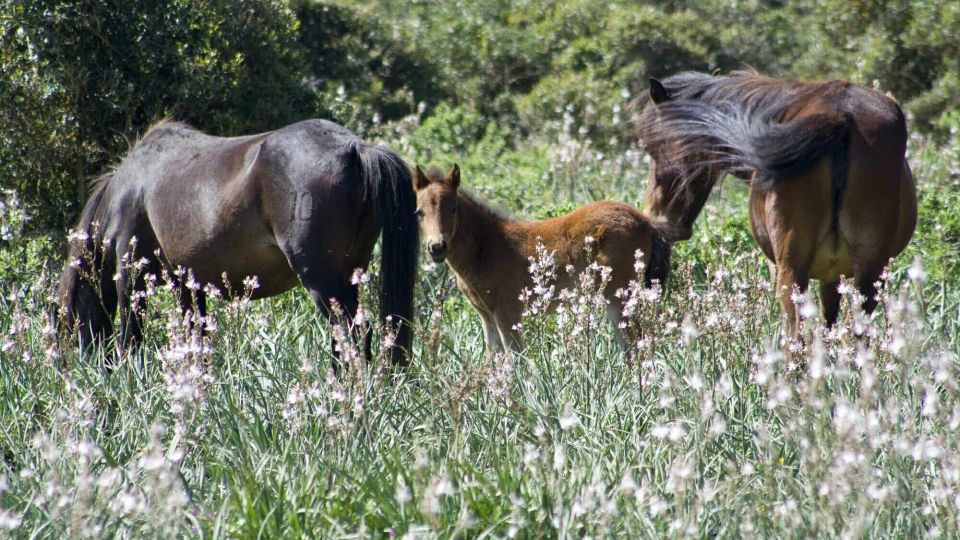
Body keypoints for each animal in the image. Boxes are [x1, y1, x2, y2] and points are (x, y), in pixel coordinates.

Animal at [58, 117, 418, 362]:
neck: (127, 191)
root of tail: (354, 148)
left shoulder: (130, 277)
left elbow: (129, 339)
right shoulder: (188, 286)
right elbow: (196, 339)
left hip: (323, 280)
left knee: (350, 334)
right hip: (349, 276)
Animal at [410, 167, 668, 356]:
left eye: (453, 208)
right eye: (419, 212)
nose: (437, 248)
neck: (486, 248)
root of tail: (646, 223)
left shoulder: (508, 313)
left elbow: (516, 360)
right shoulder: (486, 316)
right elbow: (493, 361)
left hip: (618, 296)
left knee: (636, 344)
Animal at [632, 70, 920, 342]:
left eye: (653, 148)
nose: (656, 218)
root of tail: (841, 117)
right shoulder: (833, 276)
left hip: (792, 271)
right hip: (868, 273)